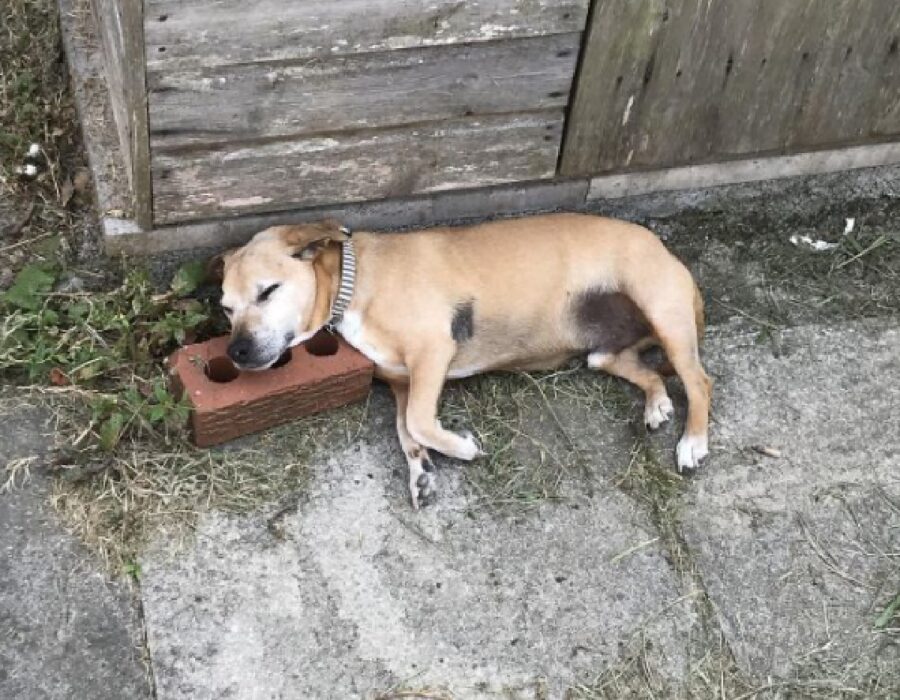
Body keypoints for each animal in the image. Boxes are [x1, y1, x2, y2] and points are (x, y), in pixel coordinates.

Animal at [216, 213, 712, 508]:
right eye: (225, 308)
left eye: (268, 291)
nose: (237, 351)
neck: (352, 285)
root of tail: (668, 253)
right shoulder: (402, 381)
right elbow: (406, 431)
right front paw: (421, 472)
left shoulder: (433, 350)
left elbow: (418, 422)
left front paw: (463, 447)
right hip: (601, 354)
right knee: (649, 372)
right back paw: (656, 403)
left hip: (664, 314)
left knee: (699, 381)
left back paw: (693, 442)